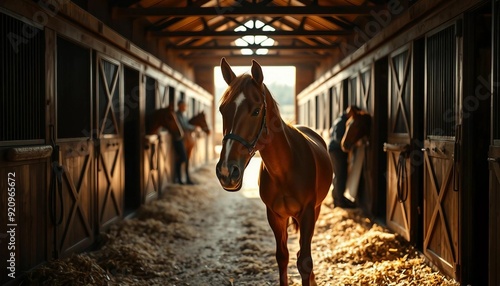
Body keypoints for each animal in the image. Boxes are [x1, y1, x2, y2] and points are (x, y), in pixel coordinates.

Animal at [214, 57, 332, 284]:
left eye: (256, 110)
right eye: (222, 109)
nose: (226, 172)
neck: (285, 170)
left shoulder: (307, 213)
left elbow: (304, 261)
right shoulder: (275, 215)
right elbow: (283, 257)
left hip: (316, 209)